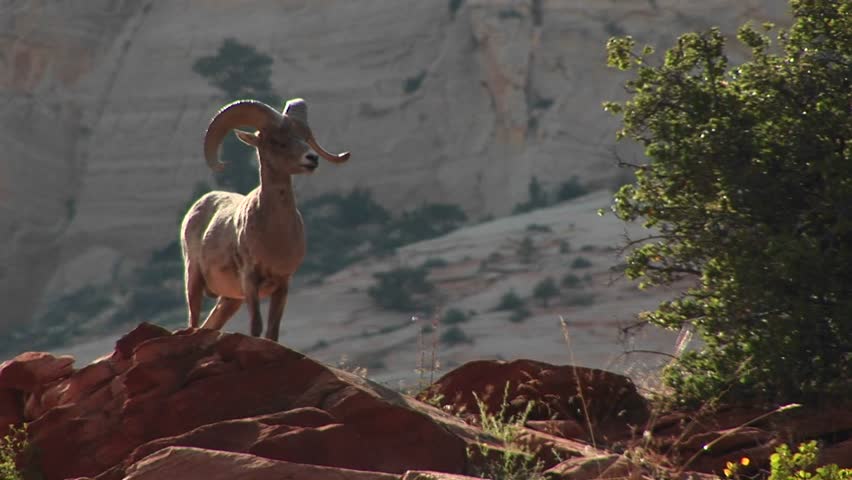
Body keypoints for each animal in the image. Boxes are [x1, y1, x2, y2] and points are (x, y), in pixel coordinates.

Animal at [180, 98, 350, 341]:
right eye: (276, 141)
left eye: (305, 136)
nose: (312, 159)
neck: (274, 237)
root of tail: (197, 207)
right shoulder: (250, 281)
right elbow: (256, 327)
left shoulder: (282, 284)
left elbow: (272, 332)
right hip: (194, 280)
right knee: (193, 320)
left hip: (230, 300)